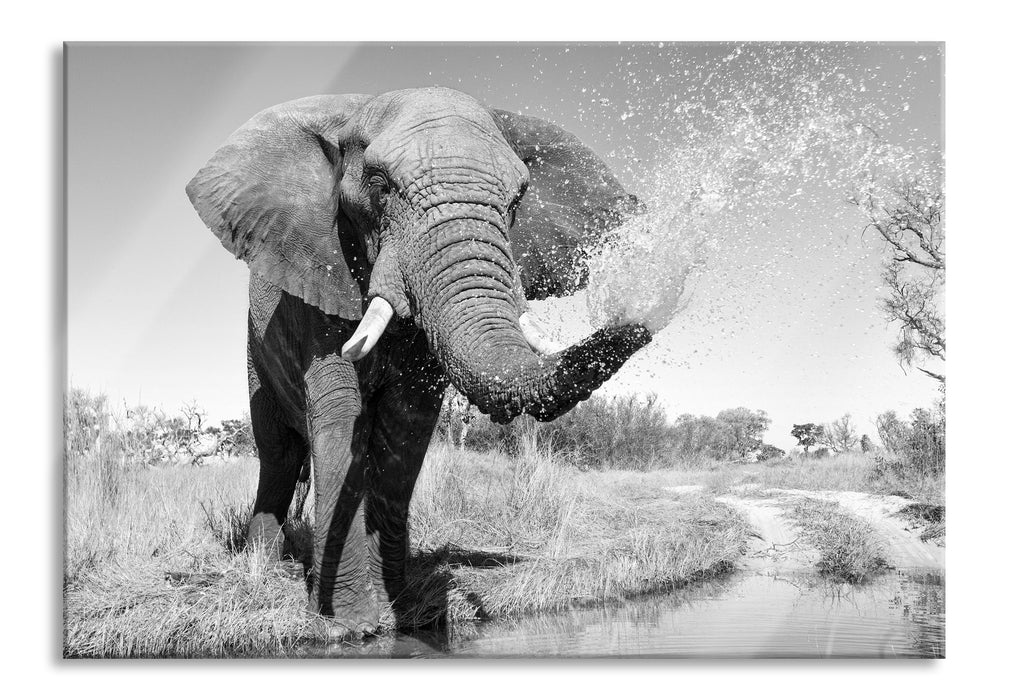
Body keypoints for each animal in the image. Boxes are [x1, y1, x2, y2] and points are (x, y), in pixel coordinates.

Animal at [186, 87, 652, 637]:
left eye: (518, 200)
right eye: (379, 185)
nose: (646, 312)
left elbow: (406, 424)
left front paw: (402, 613)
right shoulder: (320, 276)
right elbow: (340, 414)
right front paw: (351, 624)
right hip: (254, 350)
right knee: (277, 452)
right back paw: (263, 561)